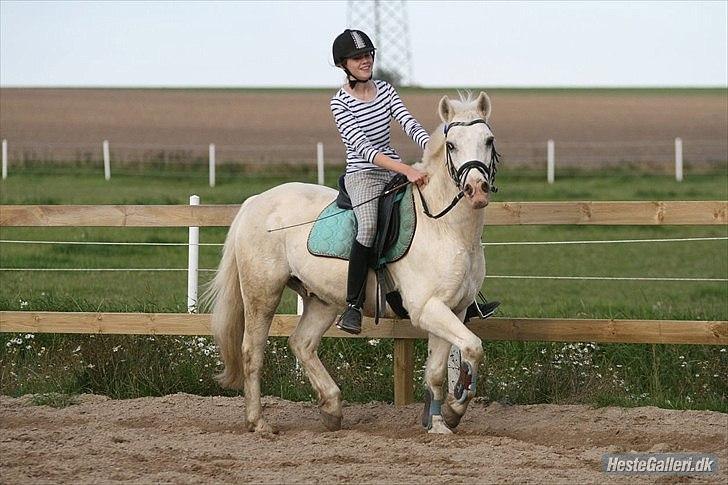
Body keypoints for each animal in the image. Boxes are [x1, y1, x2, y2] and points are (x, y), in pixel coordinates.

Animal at [208, 91, 498, 434]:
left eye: (488, 140)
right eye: (451, 145)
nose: (476, 190)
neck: (446, 227)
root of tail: (256, 201)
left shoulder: (453, 309)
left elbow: (438, 372)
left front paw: (441, 422)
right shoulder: (427, 308)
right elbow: (473, 347)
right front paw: (455, 408)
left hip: (322, 299)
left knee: (301, 343)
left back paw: (332, 408)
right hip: (262, 294)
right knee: (252, 351)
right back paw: (259, 422)